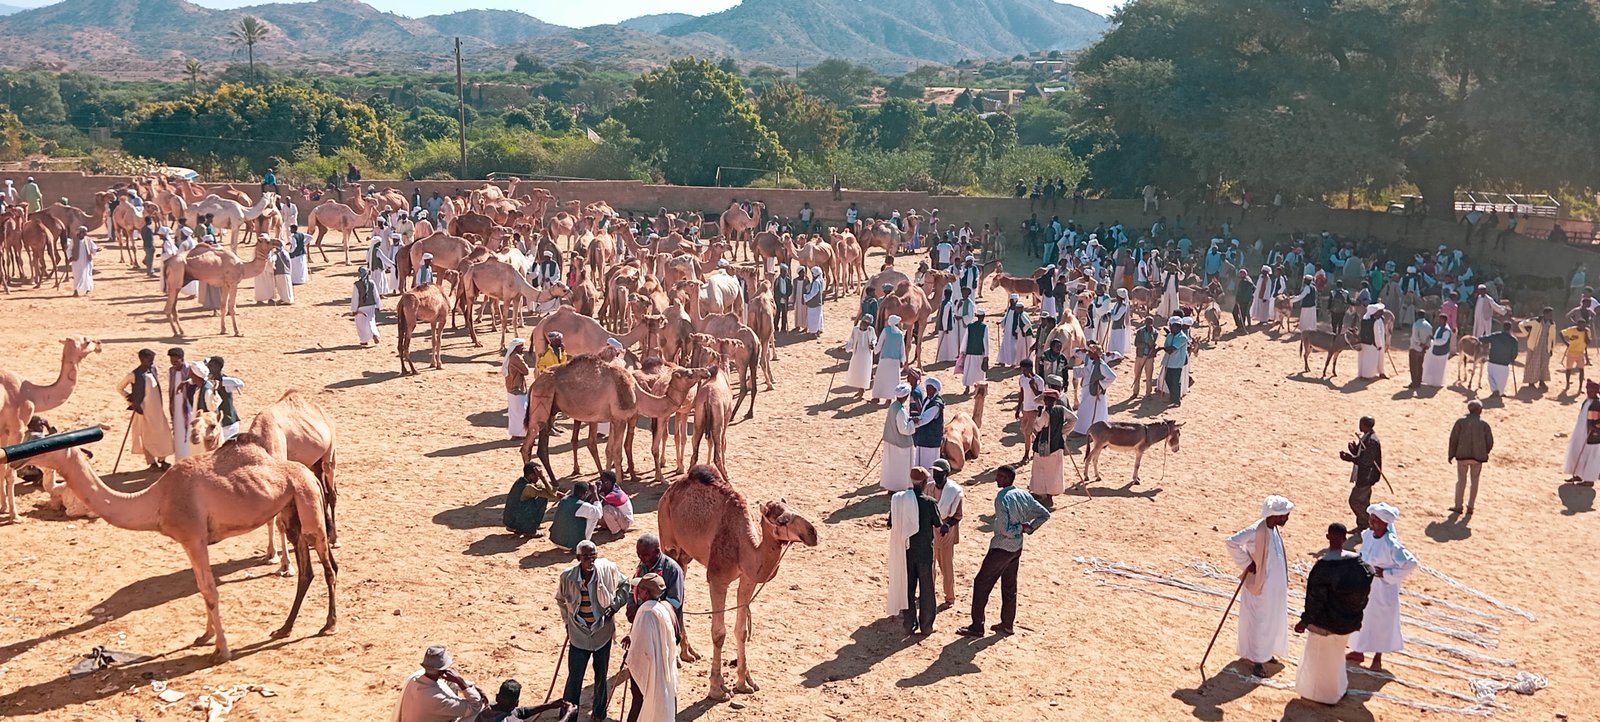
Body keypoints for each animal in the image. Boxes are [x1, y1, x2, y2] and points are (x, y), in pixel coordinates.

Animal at [0, 336, 101, 521]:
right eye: (86, 340)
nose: (99, 344)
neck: (31, 393)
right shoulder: (17, 427)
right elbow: (10, 473)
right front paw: (14, 515)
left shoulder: (4, 430)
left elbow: (2, 468)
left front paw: (3, 507)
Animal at [31, 434, 337, 663]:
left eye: (45, 445)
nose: (24, 456)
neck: (157, 500)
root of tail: (311, 475)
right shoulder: (189, 542)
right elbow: (202, 589)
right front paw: (205, 637)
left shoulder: (194, 537)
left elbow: (211, 592)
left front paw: (221, 651)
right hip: (291, 511)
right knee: (306, 571)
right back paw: (284, 628)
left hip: (308, 504)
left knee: (328, 566)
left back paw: (328, 624)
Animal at [656, 464, 818, 699]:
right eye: (782, 521)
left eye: (796, 509)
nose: (813, 533)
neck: (744, 547)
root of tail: (670, 491)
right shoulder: (717, 579)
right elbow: (718, 633)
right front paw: (717, 687)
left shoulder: (748, 580)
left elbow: (741, 631)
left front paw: (744, 683)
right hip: (668, 540)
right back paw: (677, 657)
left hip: (685, 555)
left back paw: (688, 651)